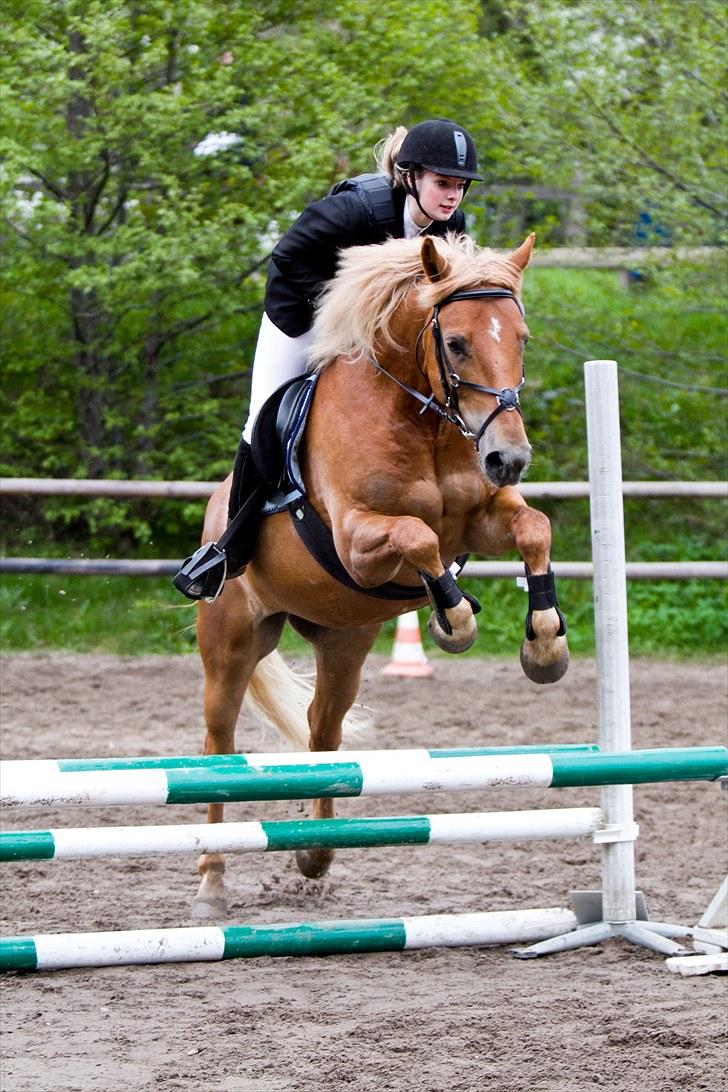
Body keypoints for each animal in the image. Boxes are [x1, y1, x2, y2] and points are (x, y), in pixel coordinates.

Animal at [192, 232, 567, 921]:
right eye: (456, 343)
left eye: (522, 338)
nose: (509, 457)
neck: (425, 419)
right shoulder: (355, 541)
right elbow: (419, 538)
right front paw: (454, 622)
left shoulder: (483, 518)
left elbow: (535, 528)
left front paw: (545, 645)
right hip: (230, 644)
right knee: (217, 745)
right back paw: (211, 880)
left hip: (345, 641)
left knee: (323, 730)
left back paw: (315, 853)